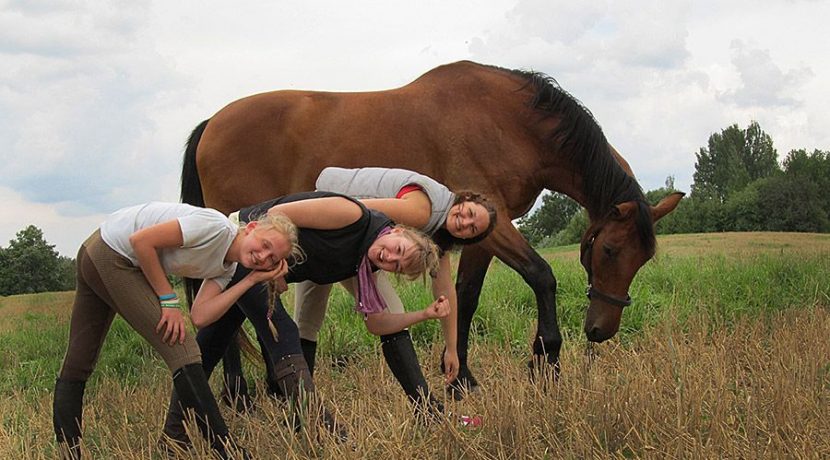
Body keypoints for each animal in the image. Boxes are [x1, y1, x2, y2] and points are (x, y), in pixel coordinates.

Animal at [180, 60, 684, 392]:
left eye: (642, 259)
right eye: (608, 251)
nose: (601, 330)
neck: (505, 119)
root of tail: (211, 124)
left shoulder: (483, 230)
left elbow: (466, 296)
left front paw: (461, 379)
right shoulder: (497, 222)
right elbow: (542, 275)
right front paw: (547, 360)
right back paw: (241, 395)